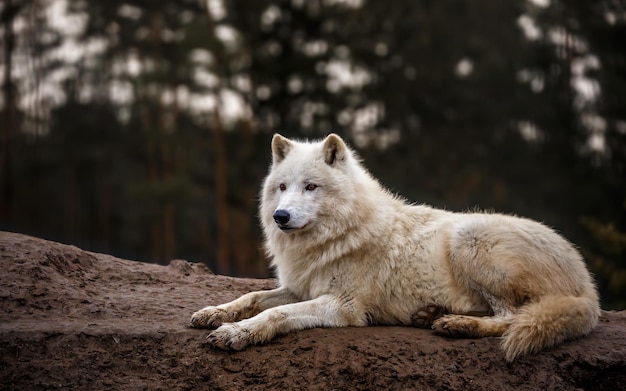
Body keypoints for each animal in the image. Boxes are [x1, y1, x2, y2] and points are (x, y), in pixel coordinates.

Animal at [191, 134, 600, 362]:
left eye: (310, 187)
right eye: (282, 187)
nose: (281, 216)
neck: (333, 237)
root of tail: (588, 287)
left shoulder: (343, 305)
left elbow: (274, 314)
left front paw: (237, 333)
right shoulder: (300, 287)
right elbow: (253, 298)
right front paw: (215, 313)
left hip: (468, 238)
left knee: (510, 317)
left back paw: (455, 324)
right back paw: (430, 315)